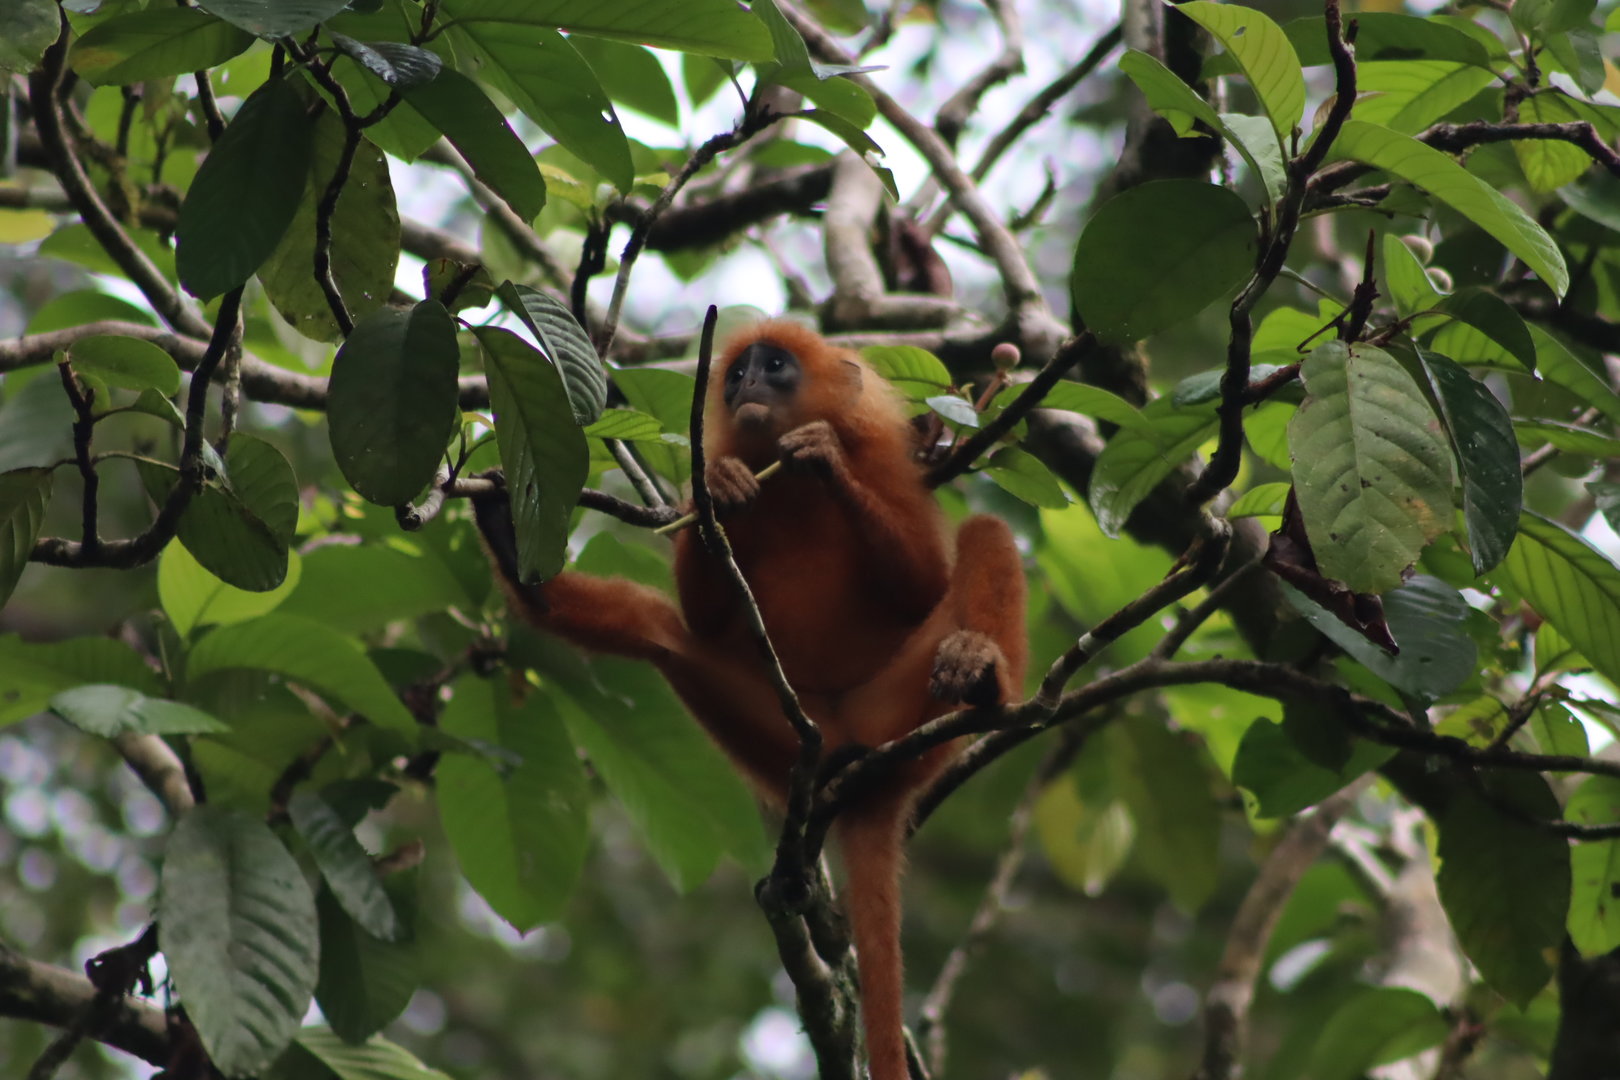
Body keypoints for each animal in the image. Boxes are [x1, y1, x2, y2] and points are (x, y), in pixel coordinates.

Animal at [475, 320, 1028, 1080]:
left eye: (775, 366)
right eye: (737, 374)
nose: (745, 385)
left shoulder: (892, 471)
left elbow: (920, 585)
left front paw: (824, 458)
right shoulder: (700, 496)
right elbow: (700, 616)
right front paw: (727, 483)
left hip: (907, 716)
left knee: (986, 537)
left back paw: (983, 680)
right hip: (796, 734)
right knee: (661, 633)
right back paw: (522, 566)